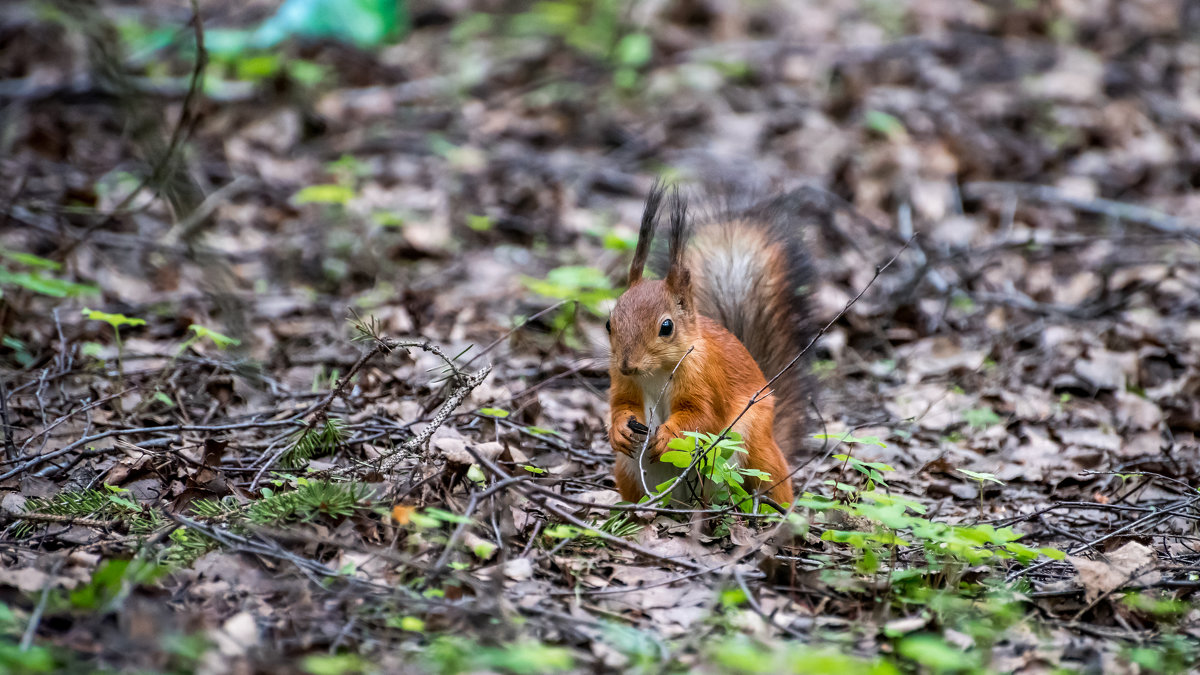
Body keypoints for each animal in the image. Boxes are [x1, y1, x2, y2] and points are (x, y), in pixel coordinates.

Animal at [609, 181, 816, 506]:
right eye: (609, 323)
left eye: (666, 327)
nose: (627, 365)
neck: (655, 372)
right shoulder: (622, 382)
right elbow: (621, 405)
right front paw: (618, 429)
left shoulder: (705, 378)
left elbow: (701, 416)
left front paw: (668, 435)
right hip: (631, 470)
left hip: (756, 456)